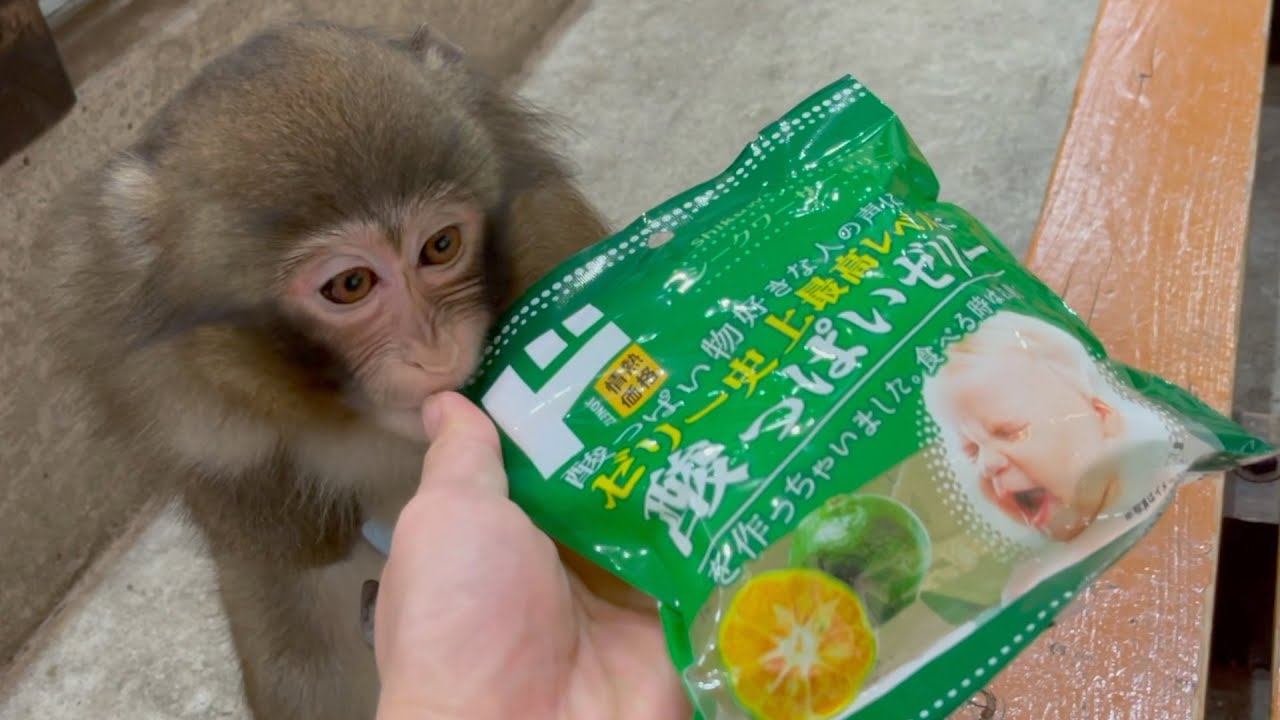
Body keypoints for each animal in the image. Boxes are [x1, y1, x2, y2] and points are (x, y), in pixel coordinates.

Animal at [38, 21, 625, 720]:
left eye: (441, 246)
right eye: (351, 285)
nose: (432, 349)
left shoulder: (548, 229)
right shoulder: (158, 377)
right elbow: (265, 527)